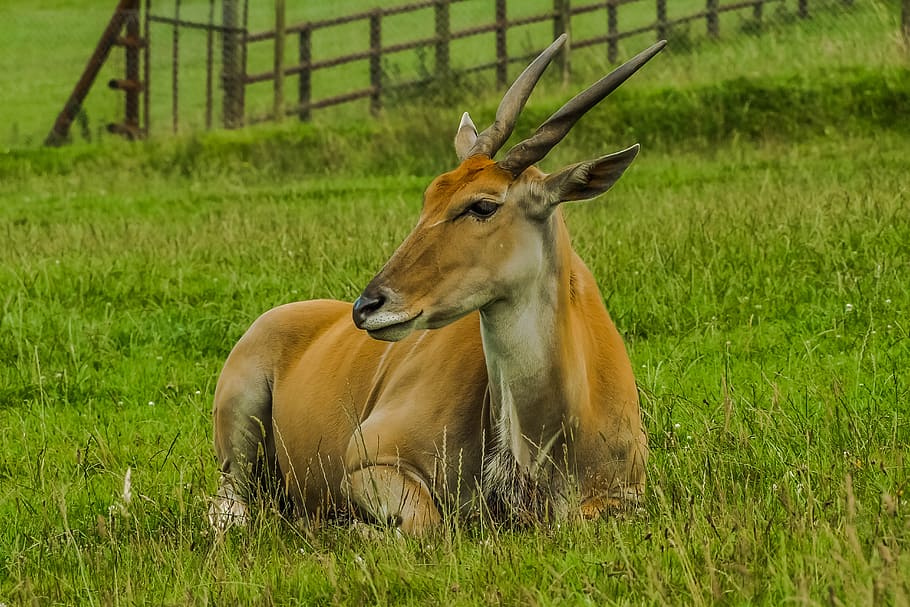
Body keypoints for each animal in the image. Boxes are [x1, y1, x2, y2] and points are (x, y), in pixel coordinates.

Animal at [211, 36, 666, 534]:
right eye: (430, 195)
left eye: (482, 205)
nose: (368, 305)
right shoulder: (367, 459)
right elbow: (430, 526)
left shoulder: (626, 498)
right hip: (238, 432)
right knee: (229, 505)